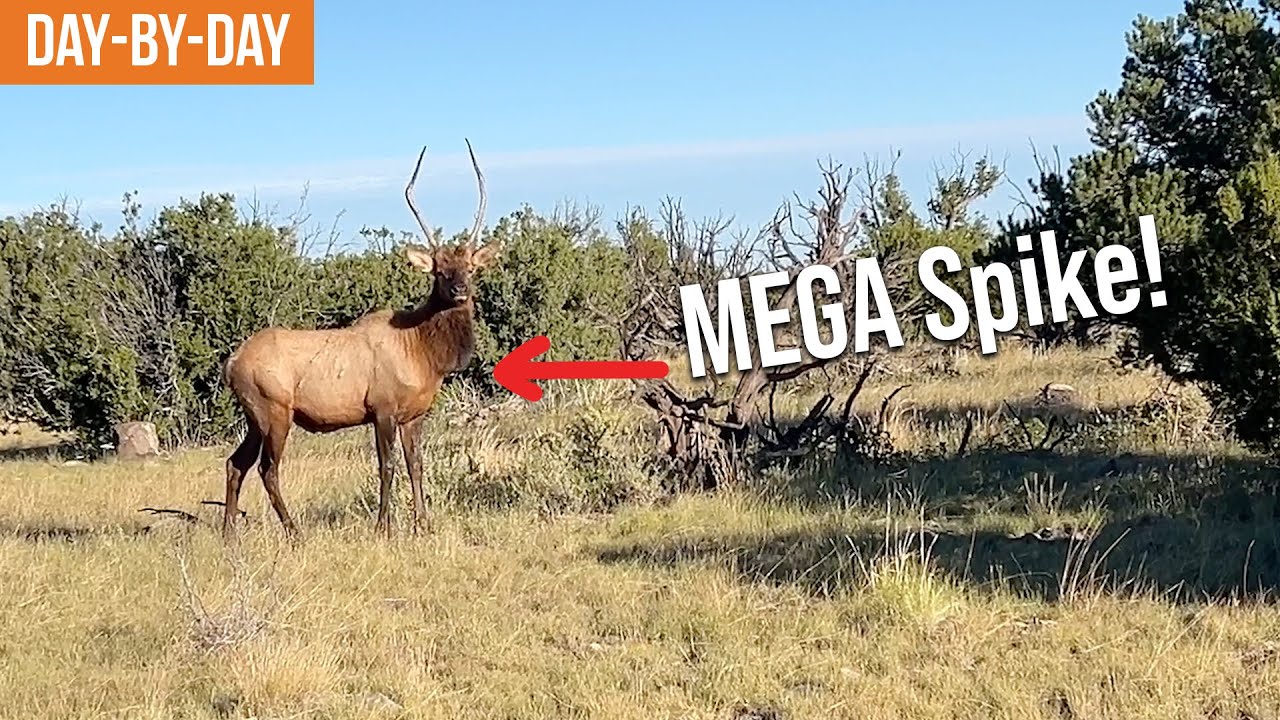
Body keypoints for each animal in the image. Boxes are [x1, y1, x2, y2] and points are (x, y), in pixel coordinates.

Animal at [219, 139, 499, 543]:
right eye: (440, 271)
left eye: (470, 268)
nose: (460, 290)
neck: (420, 349)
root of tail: (231, 363)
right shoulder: (381, 410)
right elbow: (387, 466)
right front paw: (384, 526)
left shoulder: (414, 415)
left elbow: (417, 465)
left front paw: (423, 524)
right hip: (274, 412)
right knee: (266, 469)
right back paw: (294, 532)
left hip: (254, 419)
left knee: (235, 463)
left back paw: (229, 533)